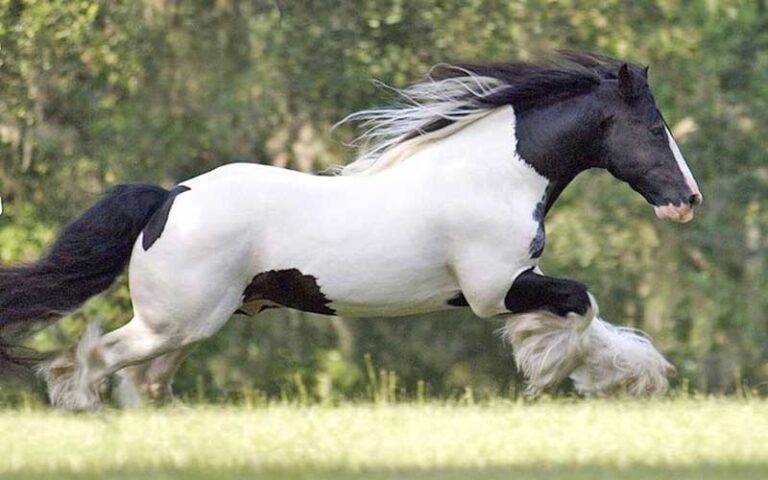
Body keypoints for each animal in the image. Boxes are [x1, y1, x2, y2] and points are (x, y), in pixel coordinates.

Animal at [0, 52, 700, 408]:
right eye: (653, 128)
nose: (688, 201)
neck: (493, 175)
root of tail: (170, 197)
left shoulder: (511, 283)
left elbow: (586, 313)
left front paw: (634, 376)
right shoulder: (494, 289)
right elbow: (582, 305)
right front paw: (557, 373)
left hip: (186, 325)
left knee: (142, 378)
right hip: (172, 322)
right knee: (90, 360)